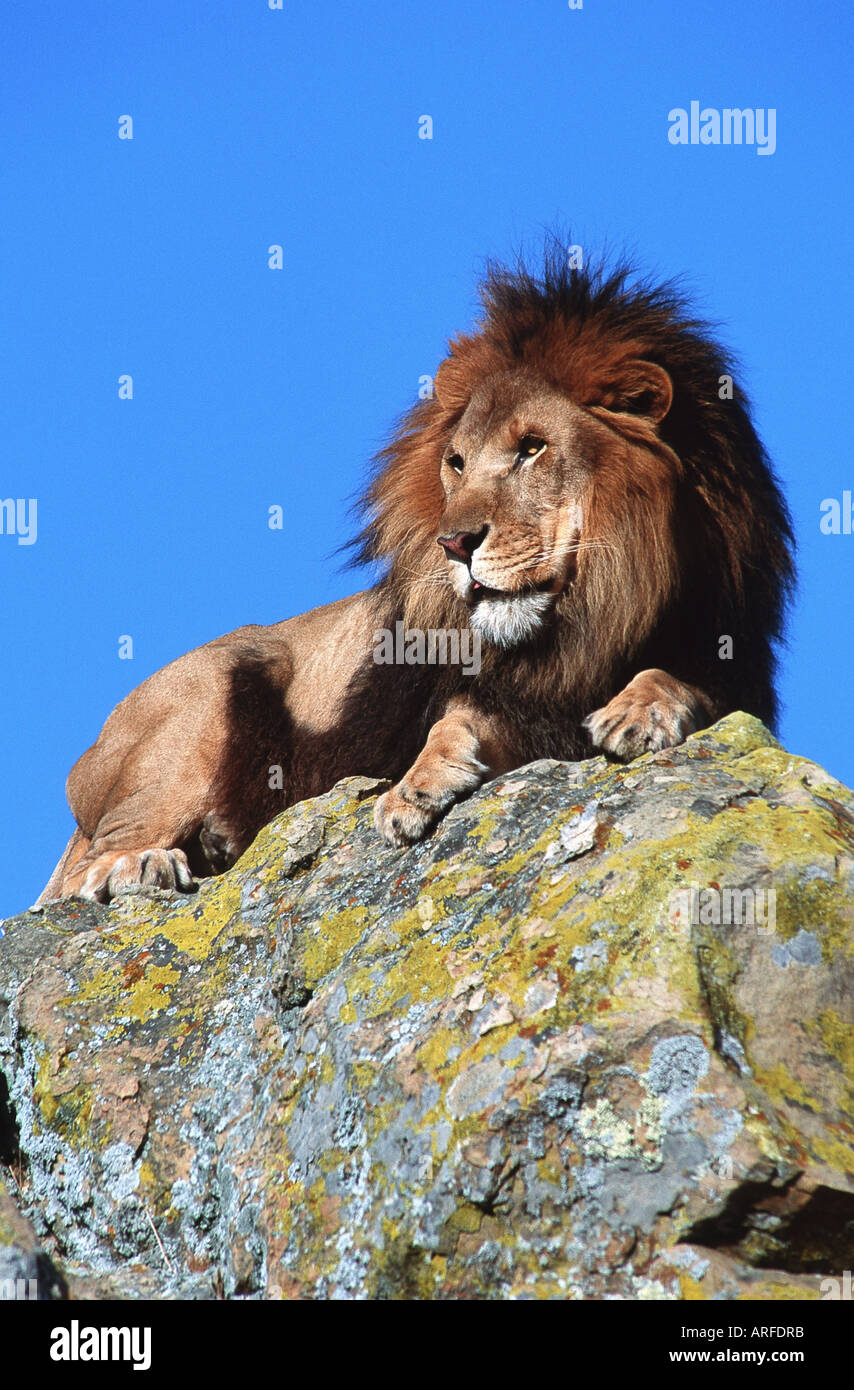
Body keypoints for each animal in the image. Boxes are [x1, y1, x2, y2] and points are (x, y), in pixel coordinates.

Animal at [38, 243, 794, 903]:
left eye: (531, 448)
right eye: (456, 462)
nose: (454, 543)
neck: (588, 620)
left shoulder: (734, 676)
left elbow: (676, 679)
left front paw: (635, 712)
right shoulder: (490, 697)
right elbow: (451, 721)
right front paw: (412, 788)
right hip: (204, 694)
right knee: (88, 868)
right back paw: (140, 865)